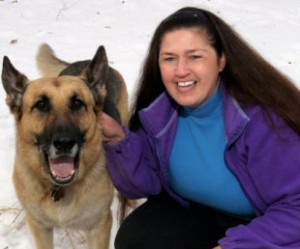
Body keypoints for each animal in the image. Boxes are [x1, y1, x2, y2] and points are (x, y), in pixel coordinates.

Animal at [0, 43, 129, 248]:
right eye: (41, 105)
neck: (59, 187)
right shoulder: (39, 226)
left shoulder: (99, 226)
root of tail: (84, 60)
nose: (64, 143)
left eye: (77, 103)